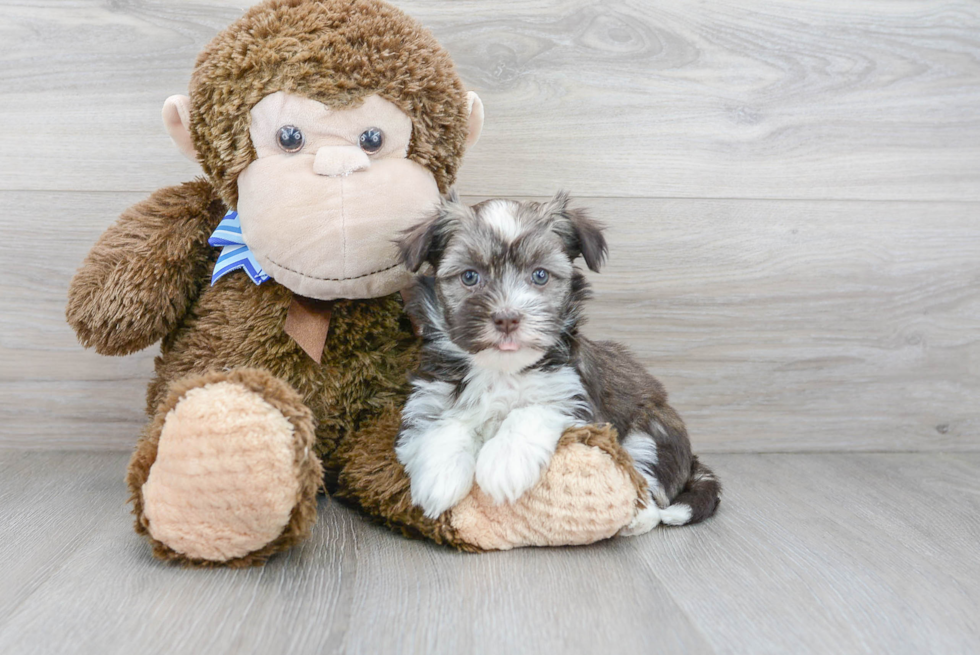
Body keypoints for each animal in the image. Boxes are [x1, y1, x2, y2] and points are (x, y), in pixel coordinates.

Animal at [390, 191, 720, 532]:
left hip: (652, 433)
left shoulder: (574, 396)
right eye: (470, 276)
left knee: (649, 484)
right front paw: (438, 476)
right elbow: (442, 423)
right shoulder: (431, 392)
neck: (501, 370)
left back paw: (636, 516)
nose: (507, 318)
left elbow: (531, 410)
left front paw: (503, 463)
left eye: (540, 275)